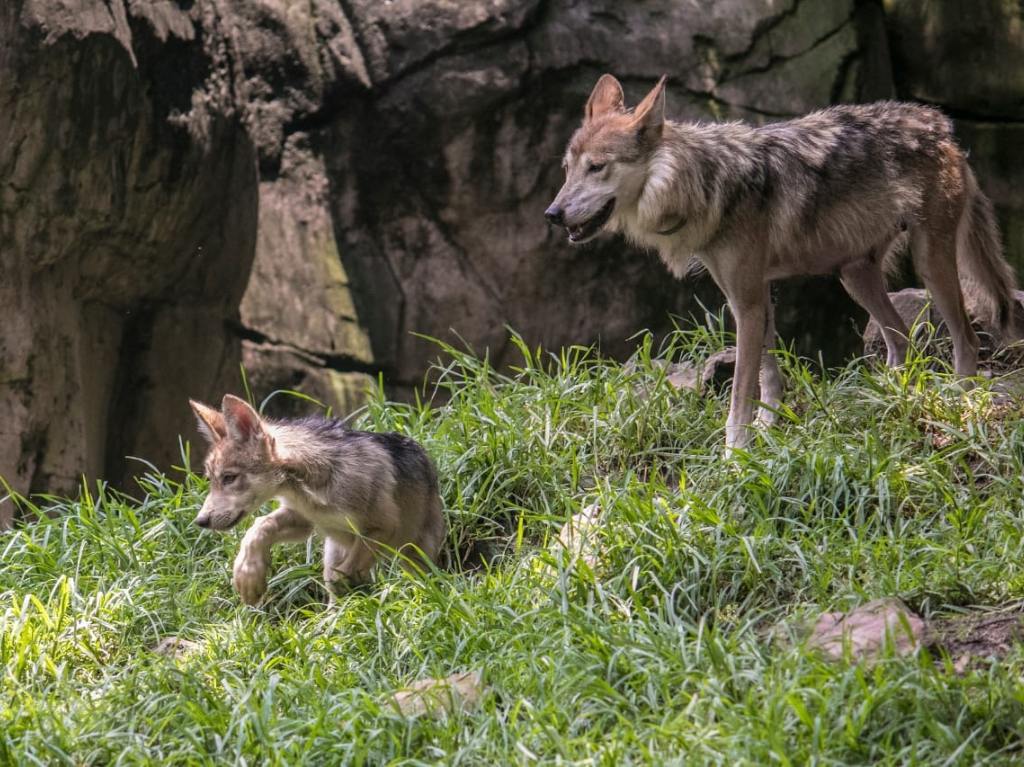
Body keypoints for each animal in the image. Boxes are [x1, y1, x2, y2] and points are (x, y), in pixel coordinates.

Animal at [544, 73, 1015, 448]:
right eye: (567, 169)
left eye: (597, 167)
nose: (552, 214)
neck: (702, 184)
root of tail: (941, 127)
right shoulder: (750, 298)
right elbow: (768, 376)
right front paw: (769, 430)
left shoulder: (748, 301)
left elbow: (740, 390)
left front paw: (735, 454)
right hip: (854, 276)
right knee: (901, 339)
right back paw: (888, 401)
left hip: (931, 263)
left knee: (965, 339)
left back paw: (956, 402)